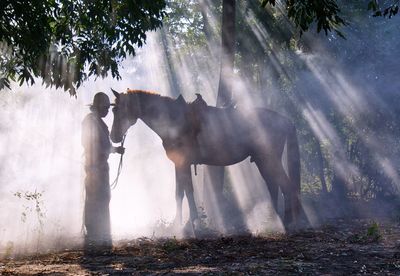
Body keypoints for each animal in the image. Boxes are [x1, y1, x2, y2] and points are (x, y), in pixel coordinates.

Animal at [108, 89, 302, 230]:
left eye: (117, 109)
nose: (114, 137)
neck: (174, 120)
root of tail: (284, 120)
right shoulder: (179, 164)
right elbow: (180, 193)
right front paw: (180, 224)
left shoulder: (183, 163)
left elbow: (187, 192)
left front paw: (190, 224)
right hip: (263, 161)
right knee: (274, 185)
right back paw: (274, 221)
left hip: (269, 160)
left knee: (285, 186)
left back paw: (286, 223)